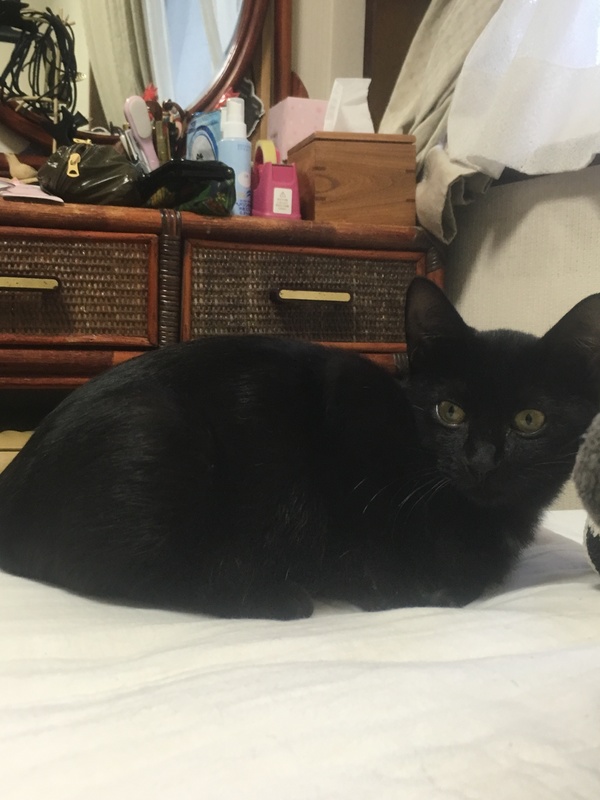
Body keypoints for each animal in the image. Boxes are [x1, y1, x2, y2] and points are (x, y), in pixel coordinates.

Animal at [0, 277, 599, 620]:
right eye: (449, 412)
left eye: (529, 420)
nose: (481, 460)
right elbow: (427, 587)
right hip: (156, 434)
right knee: (129, 572)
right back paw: (274, 596)